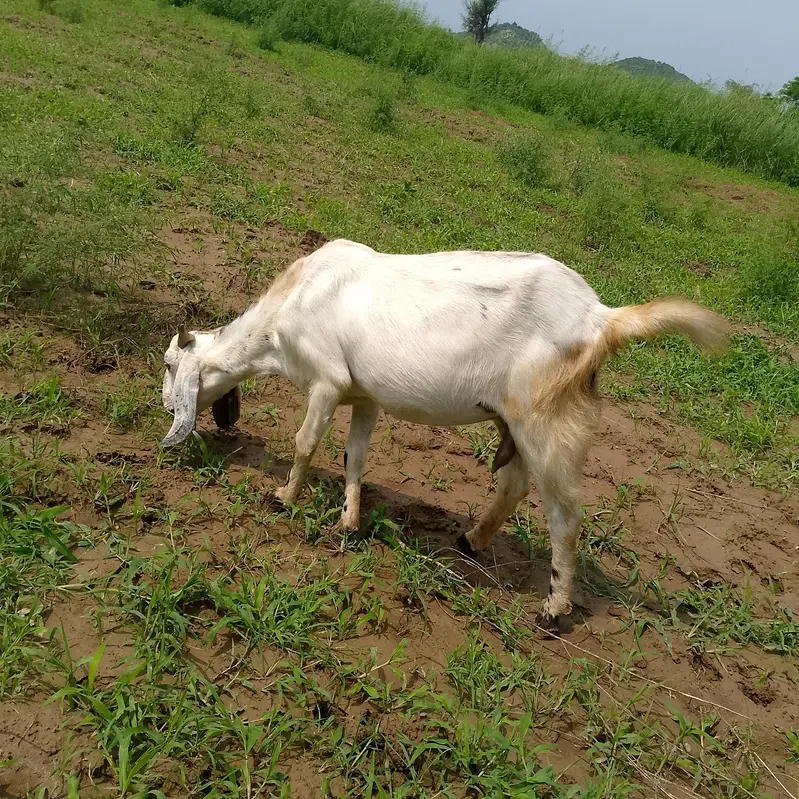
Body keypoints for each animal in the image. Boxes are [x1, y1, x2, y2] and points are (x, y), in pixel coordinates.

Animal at [161, 239, 728, 629]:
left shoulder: (327, 381)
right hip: (519, 423)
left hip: (547, 420)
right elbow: (354, 458)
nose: (166, 409)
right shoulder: (363, 396)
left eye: (168, 364)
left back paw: (554, 606)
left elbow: (305, 443)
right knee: (514, 486)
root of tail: (601, 318)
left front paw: (282, 497)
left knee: (565, 516)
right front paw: (348, 522)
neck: (286, 310)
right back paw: (472, 540)